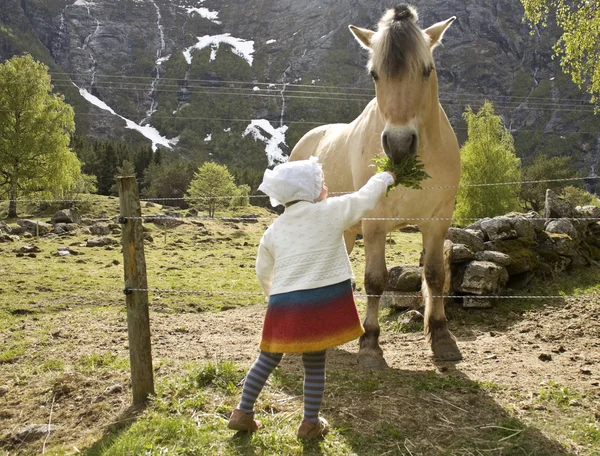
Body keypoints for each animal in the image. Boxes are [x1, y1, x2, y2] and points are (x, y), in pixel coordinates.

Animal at [288, 4, 462, 366]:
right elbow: (375, 280)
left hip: (342, 232)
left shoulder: (438, 221)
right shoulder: (374, 224)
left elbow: (435, 276)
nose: (398, 145)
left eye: (427, 70)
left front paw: (441, 338)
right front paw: (369, 344)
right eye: (374, 74)